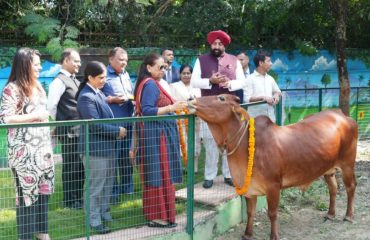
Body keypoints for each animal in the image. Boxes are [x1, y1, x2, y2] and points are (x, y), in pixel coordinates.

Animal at [188, 94, 358, 240]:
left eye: (221, 98)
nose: (191, 99)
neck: (244, 145)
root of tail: (342, 115)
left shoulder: (274, 186)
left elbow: (272, 213)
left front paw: (274, 236)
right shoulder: (250, 190)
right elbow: (250, 212)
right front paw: (247, 234)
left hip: (347, 164)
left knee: (350, 187)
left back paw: (348, 216)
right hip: (328, 169)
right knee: (333, 188)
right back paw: (330, 214)